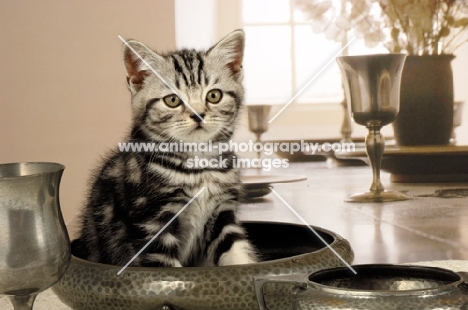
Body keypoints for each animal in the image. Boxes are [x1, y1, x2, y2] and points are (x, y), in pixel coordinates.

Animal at [71, 29, 258, 266]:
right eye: (172, 100)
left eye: (214, 95)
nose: (198, 114)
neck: (199, 165)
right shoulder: (153, 227)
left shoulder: (223, 214)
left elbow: (238, 255)